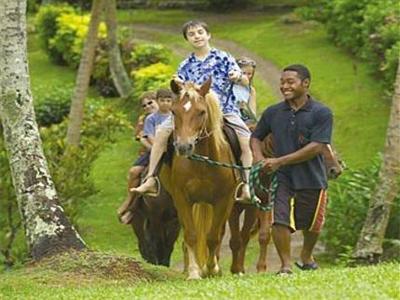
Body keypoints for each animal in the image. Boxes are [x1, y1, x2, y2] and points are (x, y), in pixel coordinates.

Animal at [158, 78, 236, 280]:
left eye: (201, 112)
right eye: (174, 111)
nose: (184, 147)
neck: (203, 163)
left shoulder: (223, 200)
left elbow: (213, 236)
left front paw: (211, 269)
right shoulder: (182, 198)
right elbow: (191, 235)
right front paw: (194, 272)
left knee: (219, 233)